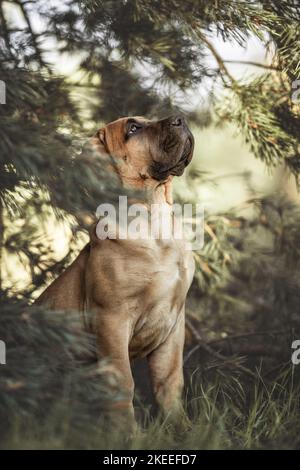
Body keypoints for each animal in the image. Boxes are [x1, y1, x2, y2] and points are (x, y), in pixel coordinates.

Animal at [36, 114, 196, 422]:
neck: (154, 223)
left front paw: (180, 426)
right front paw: (127, 431)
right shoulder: (112, 320)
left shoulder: (174, 323)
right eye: (133, 128)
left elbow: (169, 381)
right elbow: (123, 383)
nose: (180, 118)